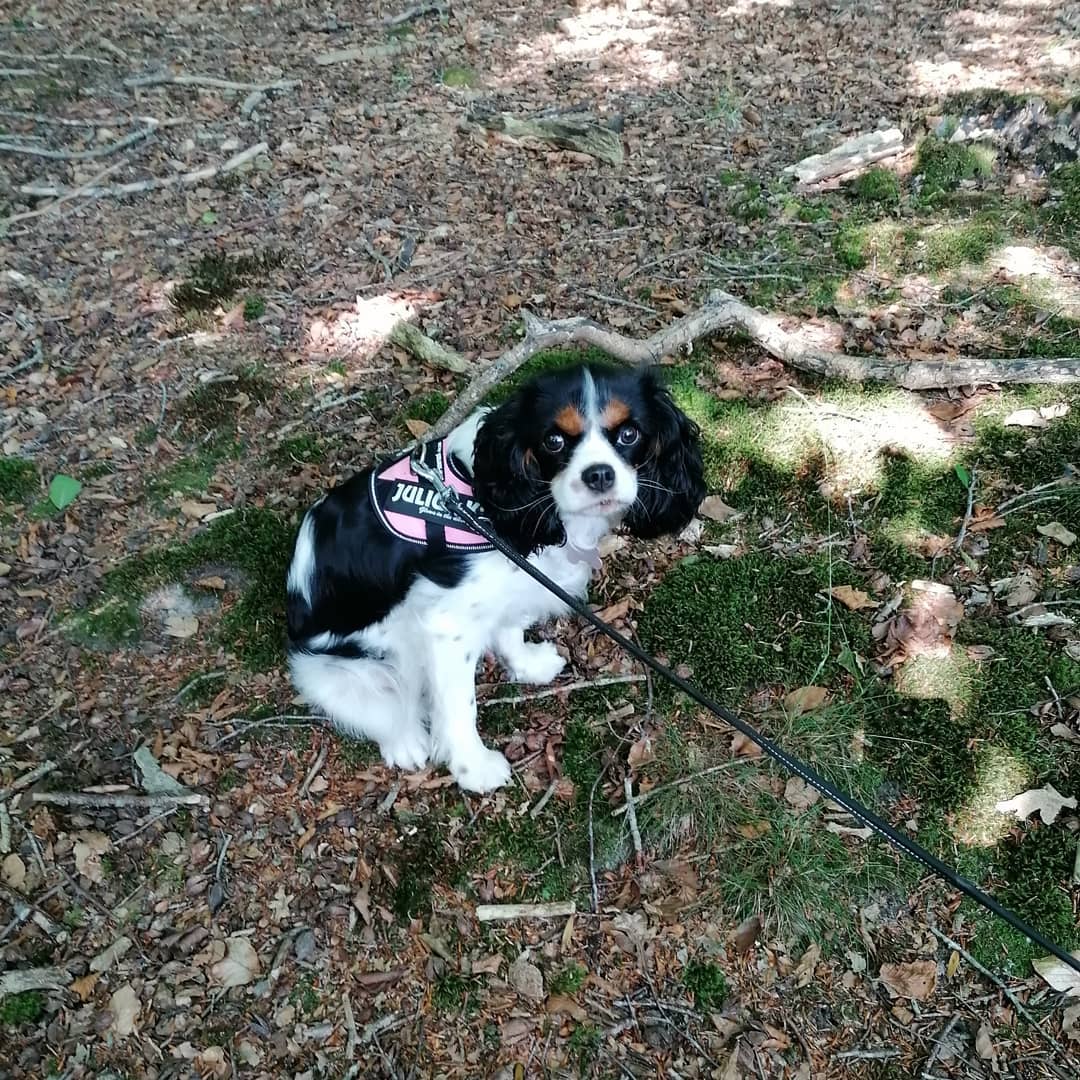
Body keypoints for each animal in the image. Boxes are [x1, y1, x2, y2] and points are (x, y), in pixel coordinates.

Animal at [285, 363, 705, 792]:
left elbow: (509, 629)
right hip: (354, 666)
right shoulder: (447, 626)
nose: (599, 474)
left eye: (629, 434)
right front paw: (473, 767)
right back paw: (404, 740)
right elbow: (459, 706)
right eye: (553, 440)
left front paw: (527, 665)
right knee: (382, 706)